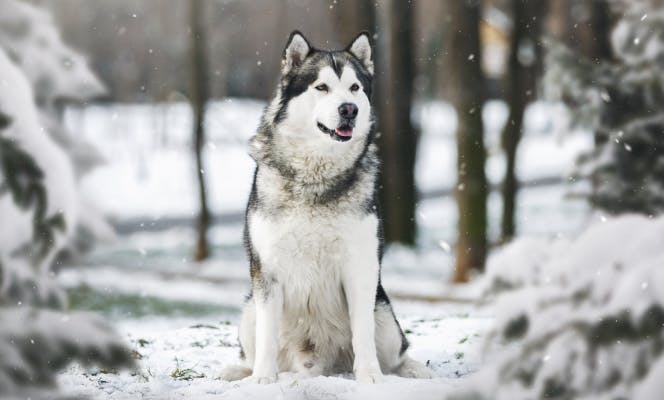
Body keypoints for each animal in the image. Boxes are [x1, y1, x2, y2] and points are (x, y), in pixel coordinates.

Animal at [220, 32, 434, 384]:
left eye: (354, 87)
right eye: (321, 87)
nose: (349, 109)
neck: (316, 176)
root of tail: (319, 366)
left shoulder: (361, 266)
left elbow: (363, 335)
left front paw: (370, 377)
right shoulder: (267, 269)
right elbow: (267, 336)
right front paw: (263, 378)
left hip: (384, 314)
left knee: (397, 353)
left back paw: (411, 369)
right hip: (249, 310)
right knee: (253, 347)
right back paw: (239, 370)